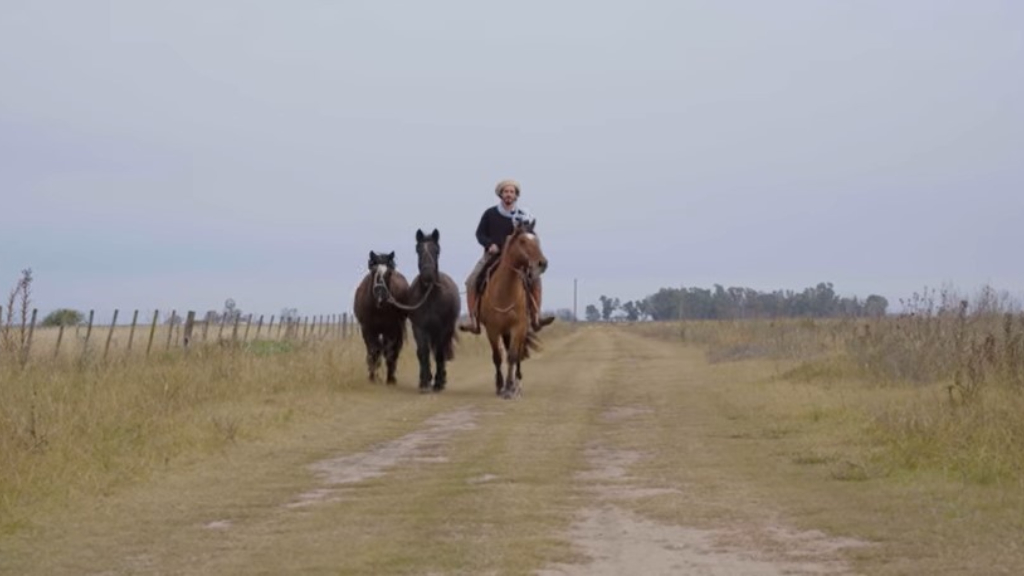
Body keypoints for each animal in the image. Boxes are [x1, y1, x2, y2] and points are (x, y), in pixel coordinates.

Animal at [352, 250, 410, 385]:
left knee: (394, 351)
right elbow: (373, 351)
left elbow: (389, 352)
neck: (378, 309)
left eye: (389, 273)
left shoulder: (392, 330)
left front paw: (390, 379)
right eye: (374, 271)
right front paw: (372, 377)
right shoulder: (367, 329)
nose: (381, 295)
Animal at [403, 228, 462, 393]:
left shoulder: (442, 329)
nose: (427, 275)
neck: (430, 298)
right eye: (418, 249)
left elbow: (440, 354)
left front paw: (438, 382)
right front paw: (425, 383)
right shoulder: (419, 328)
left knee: (441, 352)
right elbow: (423, 352)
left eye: (437, 250)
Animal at [477, 218, 548, 399]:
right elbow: (497, 357)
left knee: (518, 354)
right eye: (522, 241)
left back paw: (518, 383)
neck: (505, 291)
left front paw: (510, 388)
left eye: (537, 240)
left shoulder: (518, 327)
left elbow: (512, 356)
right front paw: (500, 385)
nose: (542, 263)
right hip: (504, 331)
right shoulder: (493, 329)